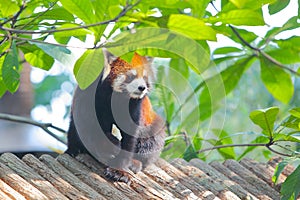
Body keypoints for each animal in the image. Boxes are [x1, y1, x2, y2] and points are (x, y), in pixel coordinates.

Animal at [65, 49, 165, 183]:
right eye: (131, 76)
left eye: (144, 78)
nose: (142, 87)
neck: (115, 96)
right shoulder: (88, 96)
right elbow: (88, 127)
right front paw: (110, 146)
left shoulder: (134, 107)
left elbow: (130, 138)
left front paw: (119, 170)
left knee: (151, 140)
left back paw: (135, 162)